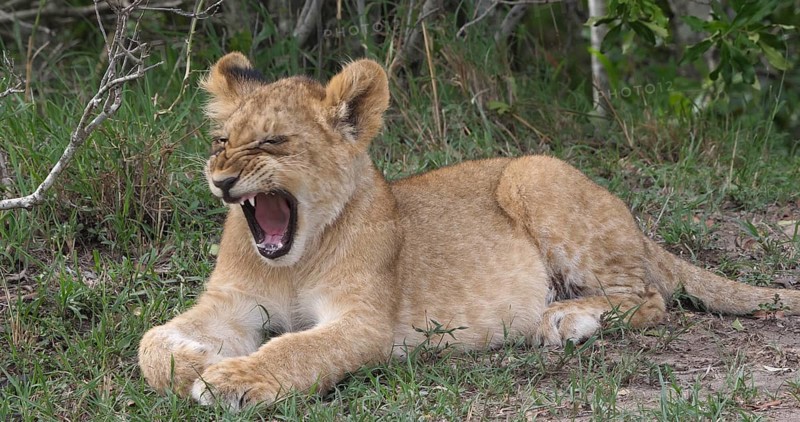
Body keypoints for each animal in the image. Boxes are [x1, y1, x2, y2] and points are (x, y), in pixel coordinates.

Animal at [137, 53, 800, 410]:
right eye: (221, 141)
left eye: (272, 142)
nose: (222, 180)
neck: (294, 257)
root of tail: (636, 226)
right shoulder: (233, 302)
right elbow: (151, 342)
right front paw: (195, 361)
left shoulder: (366, 322)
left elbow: (300, 346)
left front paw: (233, 379)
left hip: (536, 173)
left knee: (651, 298)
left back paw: (565, 320)